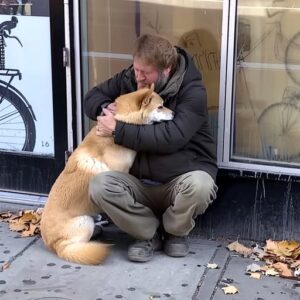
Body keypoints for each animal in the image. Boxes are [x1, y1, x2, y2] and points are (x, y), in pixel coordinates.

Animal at [41, 84, 175, 264]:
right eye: (160, 107)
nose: (174, 114)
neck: (121, 120)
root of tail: (55, 245)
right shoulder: (122, 172)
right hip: (84, 222)